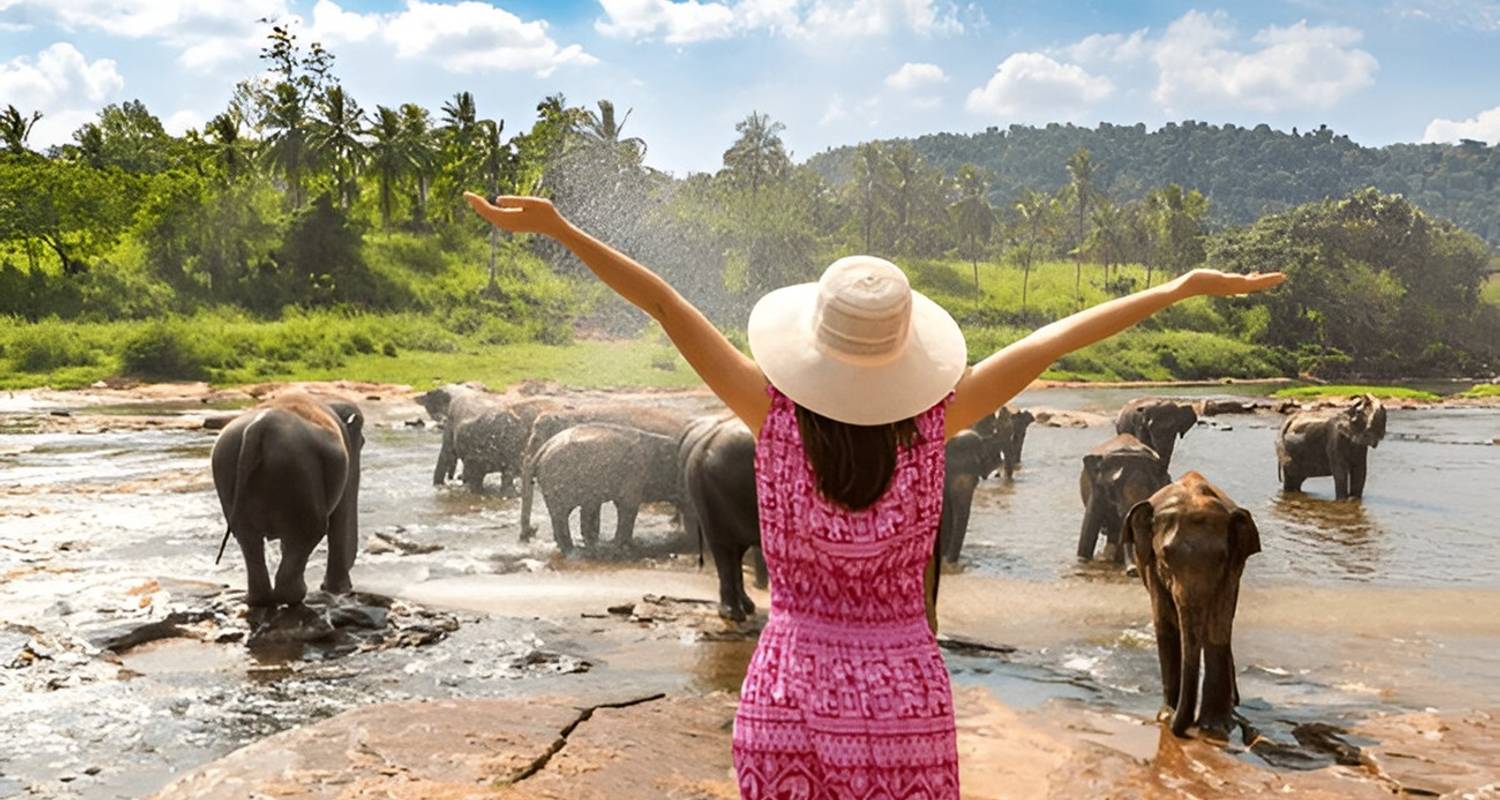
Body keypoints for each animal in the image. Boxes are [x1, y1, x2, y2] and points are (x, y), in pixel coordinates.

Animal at [208, 393, 363, 606]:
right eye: (362, 442)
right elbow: (340, 514)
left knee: (246, 536)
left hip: (228, 468)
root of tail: (259, 427)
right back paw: (296, 595)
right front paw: (340, 590)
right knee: (310, 530)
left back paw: (258, 599)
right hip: (300, 470)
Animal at [1128, 471, 1266, 738]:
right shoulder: (1150, 565)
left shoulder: (1231, 569)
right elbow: (1166, 623)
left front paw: (1215, 726)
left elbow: (1217, 628)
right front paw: (1166, 713)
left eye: (1221, 558)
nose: (1176, 725)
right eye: (1165, 556)